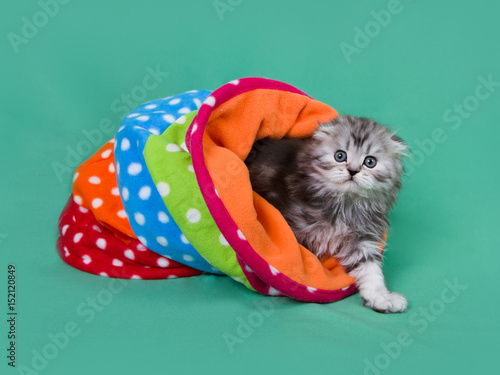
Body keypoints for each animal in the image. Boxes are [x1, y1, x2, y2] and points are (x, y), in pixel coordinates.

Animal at [244, 116, 408, 312]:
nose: (353, 171)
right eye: (340, 156)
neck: (344, 204)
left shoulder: (362, 238)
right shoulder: (296, 228)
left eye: (370, 162)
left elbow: (371, 271)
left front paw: (381, 298)